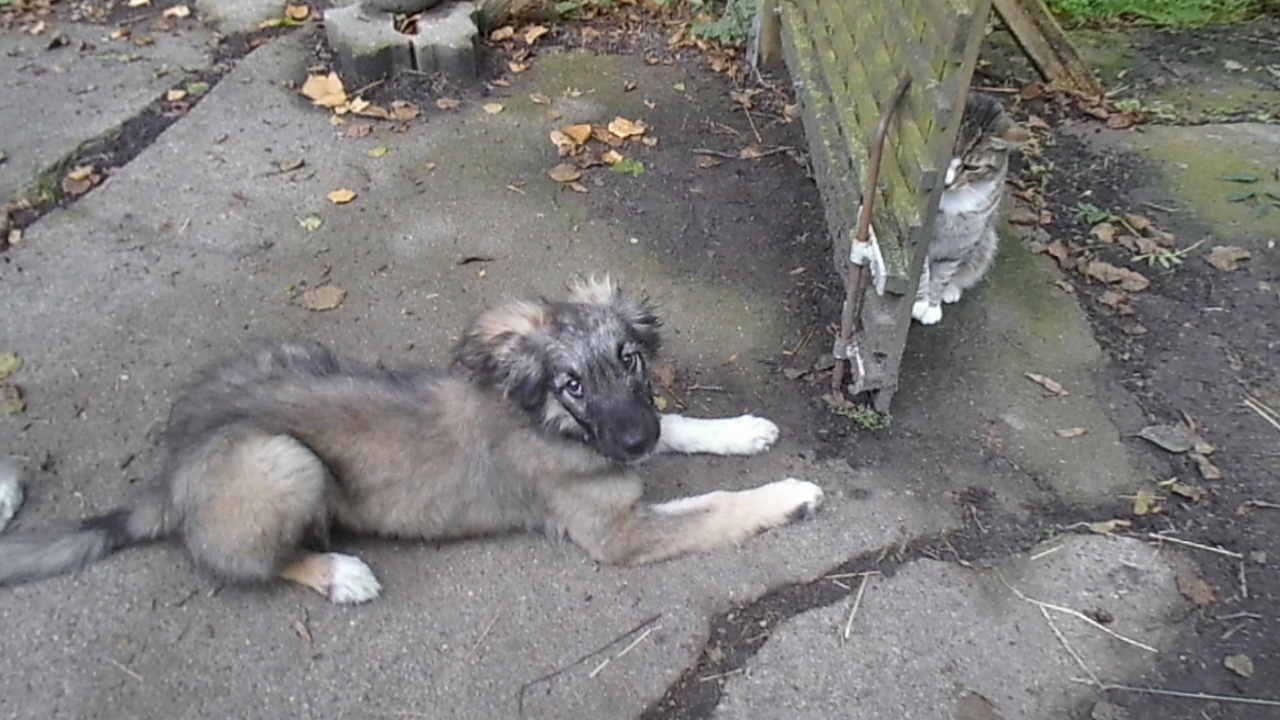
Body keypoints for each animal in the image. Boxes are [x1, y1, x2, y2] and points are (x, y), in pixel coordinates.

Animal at [0, 277, 824, 604]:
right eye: (572, 384)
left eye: (630, 360)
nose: (632, 437)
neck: (548, 421)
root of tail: (168, 476)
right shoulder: (617, 533)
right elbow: (720, 508)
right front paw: (792, 492)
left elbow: (682, 427)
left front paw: (742, 430)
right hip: (282, 461)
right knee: (239, 561)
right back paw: (338, 573)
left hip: (294, 352)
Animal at [911, 93, 1030, 325]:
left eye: (972, 167)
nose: (946, 183)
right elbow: (922, 270)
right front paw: (920, 302)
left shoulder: (961, 243)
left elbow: (944, 273)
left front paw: (932, 304)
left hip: (986, 241)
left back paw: (952, 289)